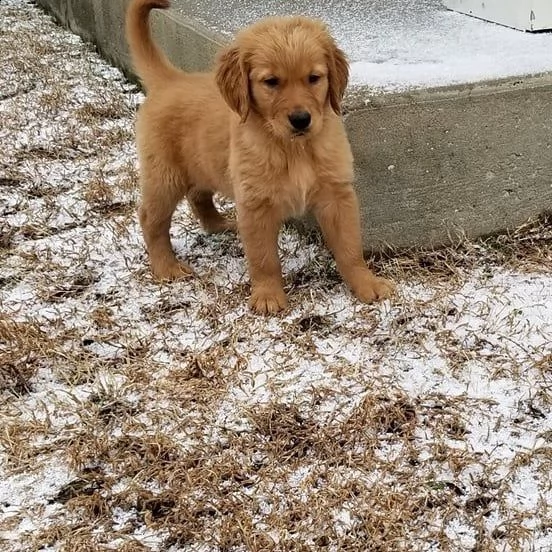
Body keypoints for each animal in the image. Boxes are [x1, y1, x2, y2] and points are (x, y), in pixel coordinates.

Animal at [126, 0, 392, 312]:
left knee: (197, 195)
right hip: (165, 176)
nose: (301, 119)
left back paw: (220, 225)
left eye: (314, 78)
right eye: (271, 82)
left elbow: (350, 249)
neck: (293, 148)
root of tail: (171, 79)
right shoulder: (256, 204)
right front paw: (267, 296)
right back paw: (166, 267)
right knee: (150, 218)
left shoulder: (337, 196)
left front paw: (367, 284)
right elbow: (264, 259)